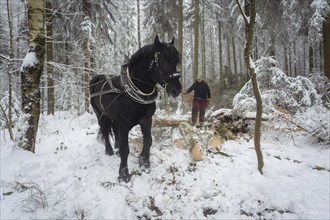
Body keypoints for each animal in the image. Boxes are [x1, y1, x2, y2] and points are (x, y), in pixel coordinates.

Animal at [89, 35, 182, 181]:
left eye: (176, 62)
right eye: (164, 63)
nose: (176, 90)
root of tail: (96, 78)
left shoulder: (146, 120)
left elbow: (148, 141)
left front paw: (144, 162)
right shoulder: (124, 124)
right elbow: (125, 149)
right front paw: (124, 174)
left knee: (113, 128)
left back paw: (115, 147)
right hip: (100, 114)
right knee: (104, 129)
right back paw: (109, 151)